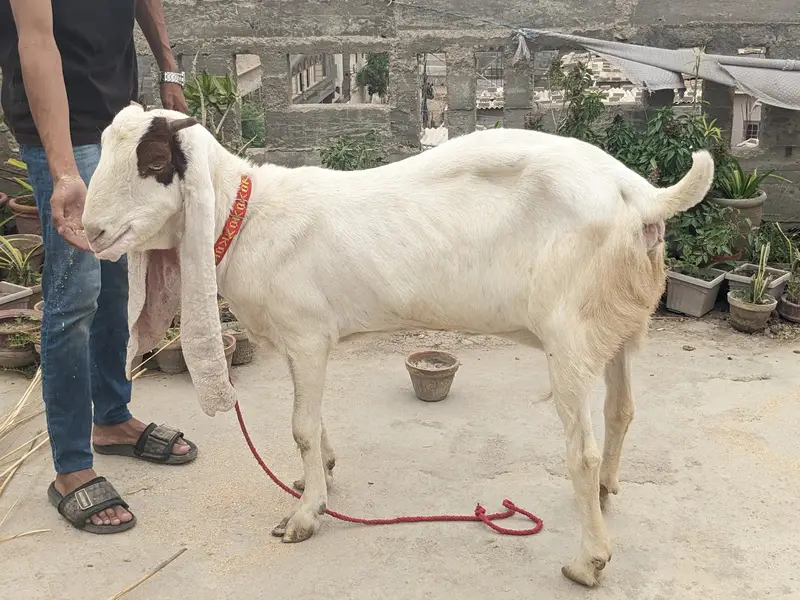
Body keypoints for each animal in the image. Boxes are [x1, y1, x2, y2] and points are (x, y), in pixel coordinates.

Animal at [82, 105, 713, 587]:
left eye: (155, 161)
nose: (90, 231)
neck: (249, 217)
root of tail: (640, 195)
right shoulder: (307, 342)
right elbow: (312, 420)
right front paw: (320, 477)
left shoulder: (307, 335)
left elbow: (300, 427)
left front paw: (304, 517)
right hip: (616, 320)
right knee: (622, 410)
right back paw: (605, 492)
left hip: (569, 328)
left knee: (581, 450)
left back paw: (588, 562)